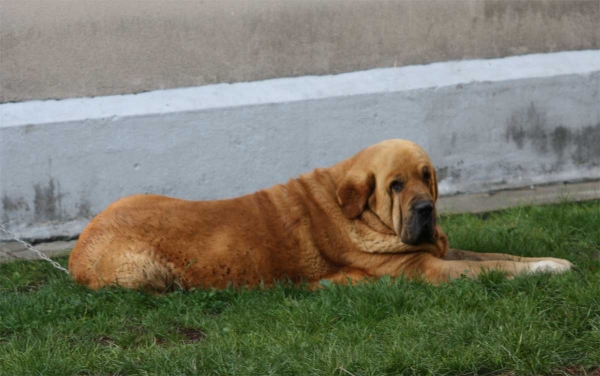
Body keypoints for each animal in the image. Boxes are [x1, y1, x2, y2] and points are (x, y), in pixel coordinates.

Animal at [69, 140, 572, 292]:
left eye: (426, 176)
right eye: (395, 185)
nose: (426, 209)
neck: (362, 215)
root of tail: (75, 254)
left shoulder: (440, 252)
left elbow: (497, 255)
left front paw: (551, 262)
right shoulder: (424, 268)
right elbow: (493, 267)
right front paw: (549, 268)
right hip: (144, 272)